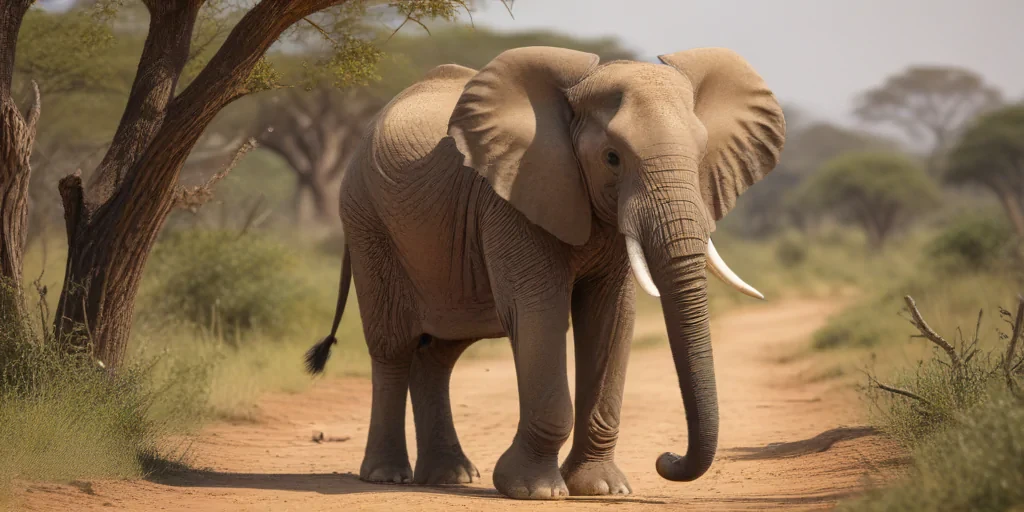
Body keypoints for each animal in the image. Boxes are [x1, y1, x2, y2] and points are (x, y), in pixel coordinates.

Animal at [304, 45, 786, 500]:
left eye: (701, 155)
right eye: (612, 158)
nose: (666, 459)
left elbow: (612, 316)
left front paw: (602, 489)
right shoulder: (511, 196)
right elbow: (539, 310)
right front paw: (533, 490)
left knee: (439, 352)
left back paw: (449, 477)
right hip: (367, 221)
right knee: (393, 347)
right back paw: (387, 475)